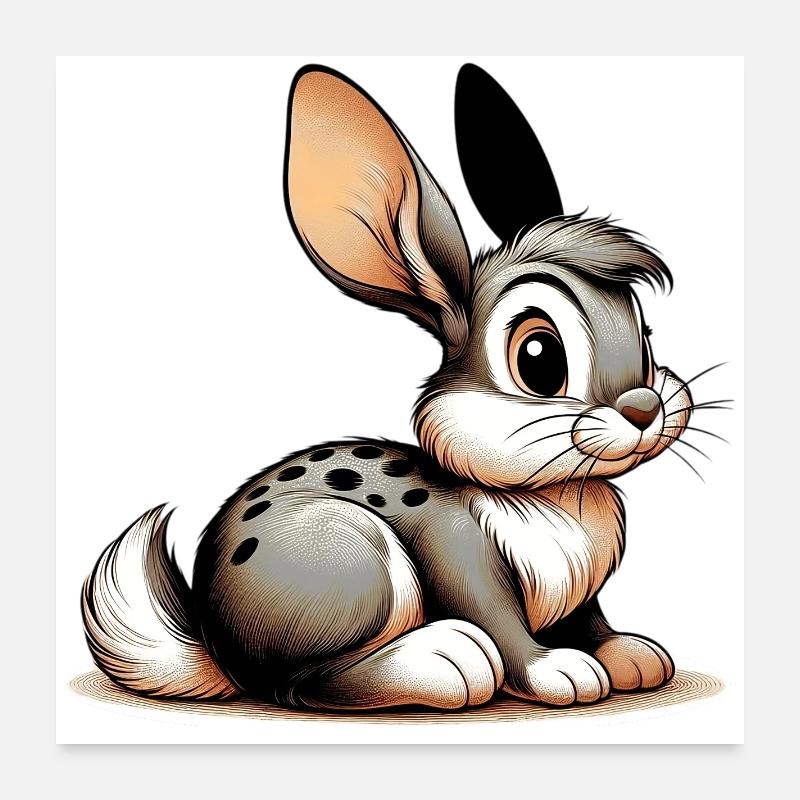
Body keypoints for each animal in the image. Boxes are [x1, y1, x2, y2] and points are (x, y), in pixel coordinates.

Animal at [81, 63, 696, 711]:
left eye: (644, 331)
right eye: (539, 356)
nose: (644, 407)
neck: (546, 494)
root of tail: (217, 644)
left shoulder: (583, 599)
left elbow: (591, 619)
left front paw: (632, 656)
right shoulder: (463, 564)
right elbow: (502, 624)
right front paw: (563, 672)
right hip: (355, 559)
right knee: (305, 684)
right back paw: (447, 660)